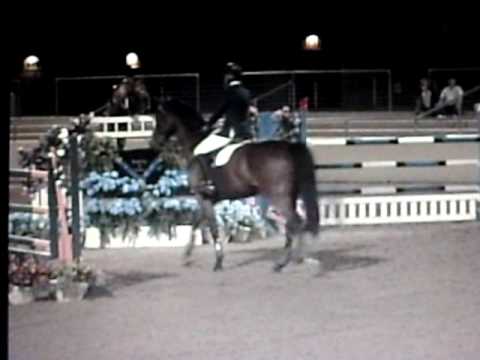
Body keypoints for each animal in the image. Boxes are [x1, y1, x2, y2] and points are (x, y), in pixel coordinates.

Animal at [152, 98, 320, 270]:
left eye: (159, 117)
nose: (155, 141)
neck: (195, 143)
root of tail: (288, 147)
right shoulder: (207, 199)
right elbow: (195, 224)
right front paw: (186, 257)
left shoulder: (203, 197)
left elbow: (212, 228)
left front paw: (218, 262)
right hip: (290, 195)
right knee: (293, 224)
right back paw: (295, 259)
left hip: (279, 196)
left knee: (295, 222)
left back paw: (287, 261)